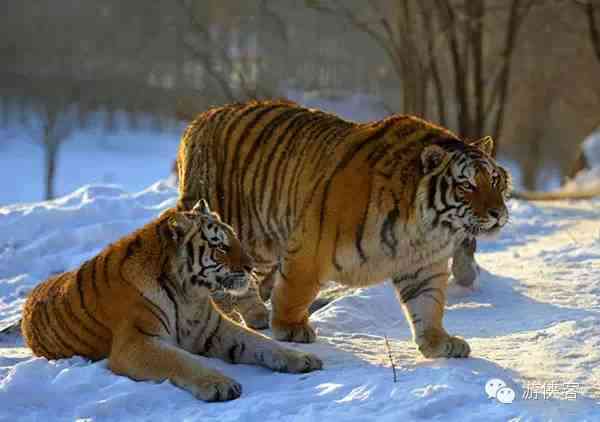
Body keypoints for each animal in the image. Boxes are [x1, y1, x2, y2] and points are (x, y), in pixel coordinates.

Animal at [21, 201, 324, 402]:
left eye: (236, 237)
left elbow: (262, 342)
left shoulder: (215, 328)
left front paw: (302, 358)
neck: (188, 294)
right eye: (220, 246)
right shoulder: (136, 342)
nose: (251, 267)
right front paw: (220, 384)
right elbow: (180, 361)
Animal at [176, 99, 508, 360]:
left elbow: (428, 304)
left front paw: (438, 343)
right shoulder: (310, 246)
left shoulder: (423, 265)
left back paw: (257, 316)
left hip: (261, 245)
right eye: (467, 185)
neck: (426, 227)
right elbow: (294, 290)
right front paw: (289, 328)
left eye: (495, 181)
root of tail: (200, 119)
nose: (497, 213)